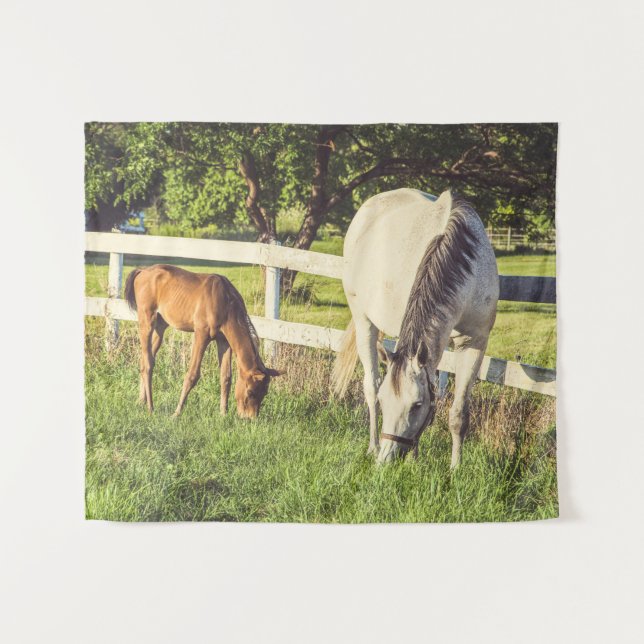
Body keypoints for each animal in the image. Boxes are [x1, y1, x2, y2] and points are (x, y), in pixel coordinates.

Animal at [124, 264, 283, 418]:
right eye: (250, 392)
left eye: (264, 393)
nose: (249, 418)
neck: (225, 301)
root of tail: (143, 271)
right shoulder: (201, 334)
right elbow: (192, 375)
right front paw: (176, 413)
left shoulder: (224, 341)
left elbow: (226, 377)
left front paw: (223, 414)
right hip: (147, 321)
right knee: (148, 364)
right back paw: (150, 407)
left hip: (160, 326)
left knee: (146, 359)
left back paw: (141, 401)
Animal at [332, 188, 498, 466]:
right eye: (385, 401)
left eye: (417, 405)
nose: (386, 461)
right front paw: (414, 459)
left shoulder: (474, 342)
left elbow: (459, 413)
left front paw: (455, 468)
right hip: (364, 321)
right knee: (370, 385)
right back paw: (373, 446)